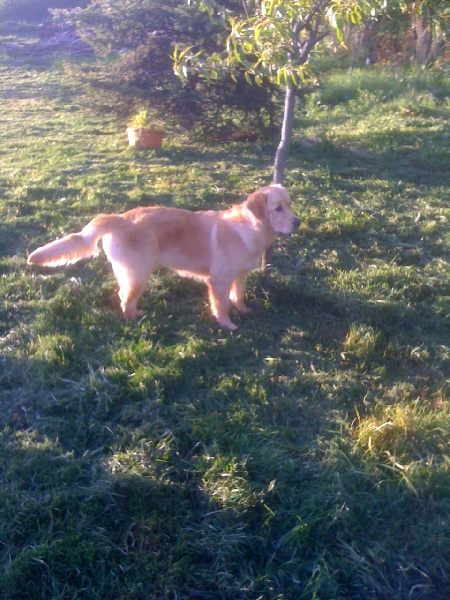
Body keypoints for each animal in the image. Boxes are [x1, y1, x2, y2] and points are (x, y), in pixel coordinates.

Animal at [28, 184, 300, 330]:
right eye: (277, 209)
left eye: (289, 204)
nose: (298, 221)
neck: (250, 228)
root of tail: (121, 218)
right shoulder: (219, 281)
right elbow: (221, 305)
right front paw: (226, 324)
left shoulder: (239, 276)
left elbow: (238, 296)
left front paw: (243, 310)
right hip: (139, 274)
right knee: (125, 301)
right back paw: (134, 323)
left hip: (131, 274)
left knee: (123, 296)